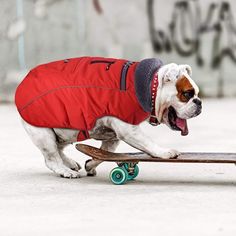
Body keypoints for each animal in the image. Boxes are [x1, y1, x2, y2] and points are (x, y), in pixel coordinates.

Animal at [17, 58, 202, 178]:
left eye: (197, 94)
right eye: (187, 94)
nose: (199, 102)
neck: (151, 88)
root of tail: (23, 83)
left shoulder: (113, 136)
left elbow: (104, 153)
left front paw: (91, 164)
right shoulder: (129, 130)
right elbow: (148, 143)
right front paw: (164, 152)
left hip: (64, 131)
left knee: (58, 149)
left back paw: (69, 163)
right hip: (43, 132)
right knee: (51, 157)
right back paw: (65, 171)